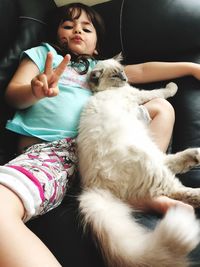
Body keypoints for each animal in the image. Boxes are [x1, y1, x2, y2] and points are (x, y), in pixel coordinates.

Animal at [76, 57, 200, 266]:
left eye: (122, 70)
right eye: (115, 75)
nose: (125, 78)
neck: (106, 91)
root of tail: (96, 188)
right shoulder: (139, 94)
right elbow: (162, 91)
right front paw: (172, 86)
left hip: (150, 150)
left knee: (170, 163)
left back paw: (195, 155)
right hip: (148, 161)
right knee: (177, 190)